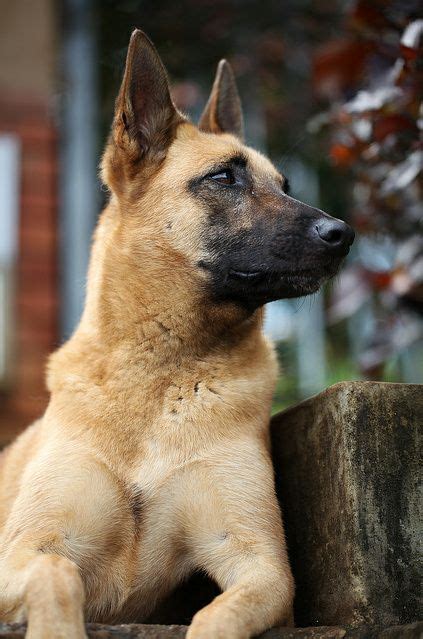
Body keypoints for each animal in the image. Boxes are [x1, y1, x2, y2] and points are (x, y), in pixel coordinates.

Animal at [0, 27, 354, 636]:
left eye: (284, 184)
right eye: (224, 177)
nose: (343, 233)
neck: (163, 373)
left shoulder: (259, 564)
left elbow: (217, 617)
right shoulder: (23, 552)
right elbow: (56, 571)